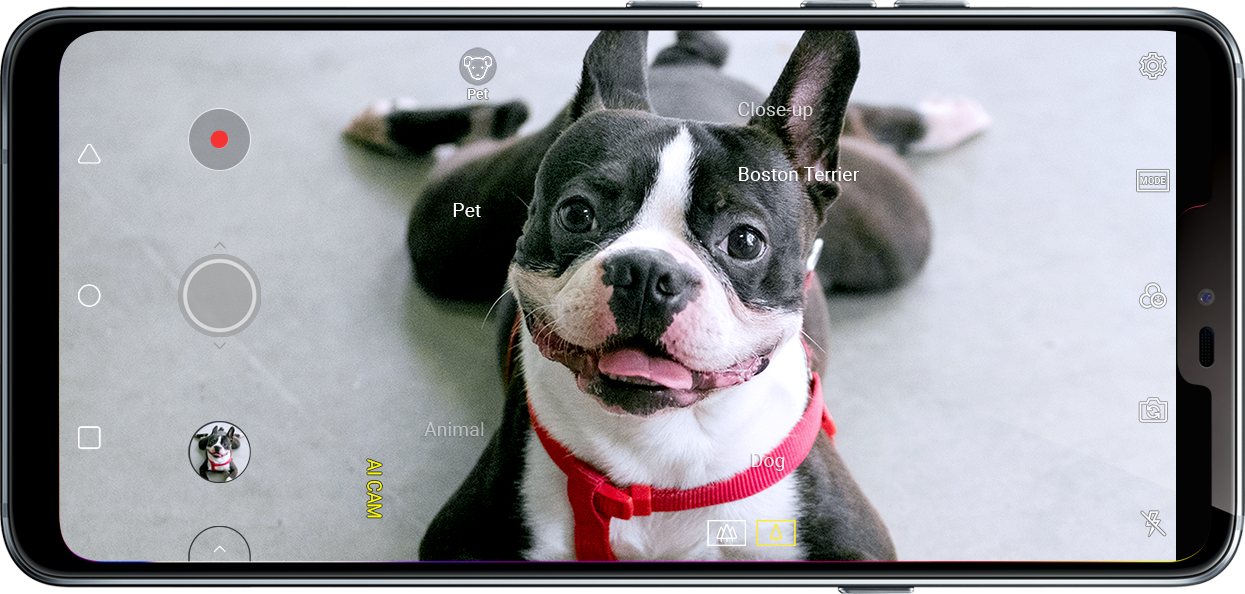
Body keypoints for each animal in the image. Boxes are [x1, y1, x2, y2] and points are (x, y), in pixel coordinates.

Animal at [346, 30, 987, 561]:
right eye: (576, 214)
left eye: (745, 241)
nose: (647, 271)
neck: (658, 459)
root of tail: (678, 64)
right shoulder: (466, 537)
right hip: (449, 234)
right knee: (484, 132)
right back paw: (386, 121)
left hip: (896, 232)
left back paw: (946, 117)